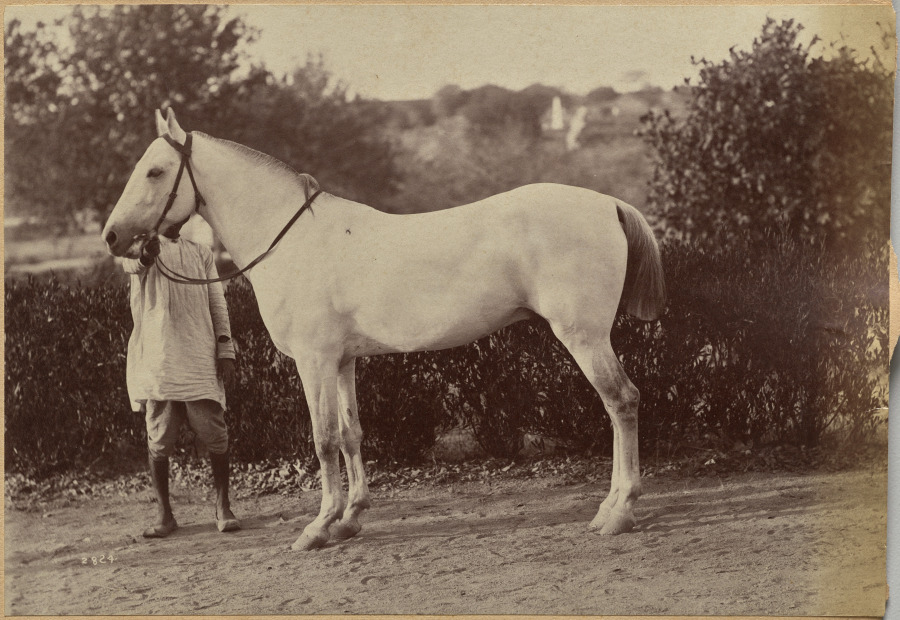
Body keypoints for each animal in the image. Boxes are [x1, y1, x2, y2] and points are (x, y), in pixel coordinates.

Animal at [103, 108, 666, 551]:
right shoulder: (343, 361)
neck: (292, 241)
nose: (112, 237)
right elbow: (352, 434)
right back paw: (610, 507)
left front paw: (318, 527)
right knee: (618, 405)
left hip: (583, 337)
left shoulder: (314, 362)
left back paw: (618, 512)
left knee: (622, 401)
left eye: (155, 171)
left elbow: (323, 439)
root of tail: (608, 204)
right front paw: (349, 519)